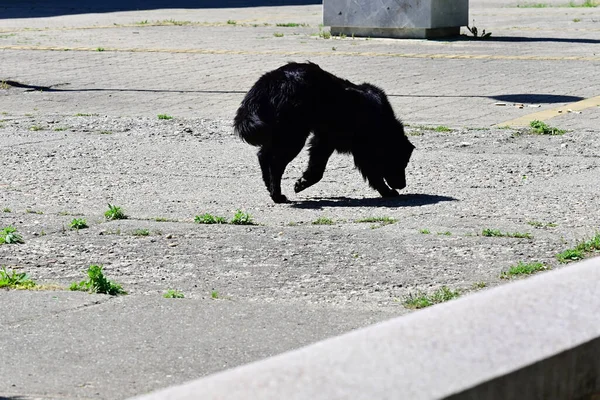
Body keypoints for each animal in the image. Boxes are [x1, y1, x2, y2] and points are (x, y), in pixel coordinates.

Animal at [233, 62, 412, 203]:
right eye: (399, 161)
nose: (403, 185)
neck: (381, 122)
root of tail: (269, 81)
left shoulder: (325, 140)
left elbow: (317, 168)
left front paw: (303, 182)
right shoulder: (358, 148)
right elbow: (373, 173)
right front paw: (387, 192)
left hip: (280, 134)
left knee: (263, 155)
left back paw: (269, 186)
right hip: (293, 136)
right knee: (275, 162)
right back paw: (277, 195)